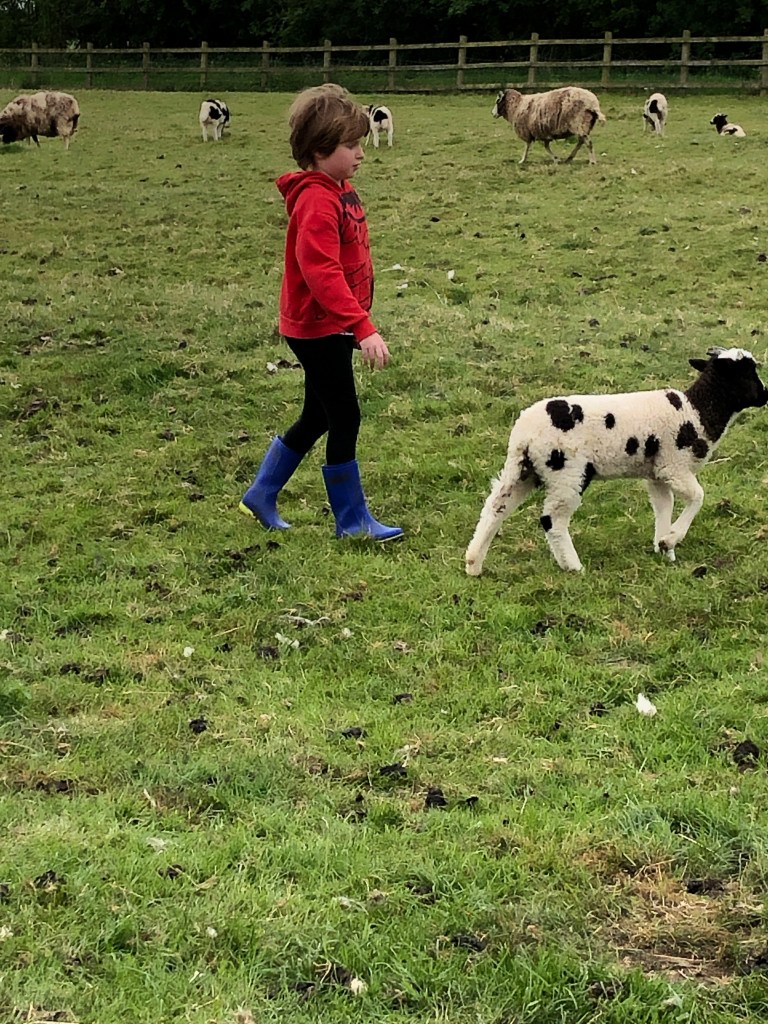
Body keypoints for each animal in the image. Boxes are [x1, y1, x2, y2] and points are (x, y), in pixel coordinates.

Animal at [465, 348, 768, 575]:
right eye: (747, 372)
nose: (765, 396)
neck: (698, 411)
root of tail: (523, 435)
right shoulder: (674, 466)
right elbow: (698, 497)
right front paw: (671, 539)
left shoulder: (657, 474)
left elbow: (664, 506)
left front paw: (664, 549)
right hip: (567, 473)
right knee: (552, 519)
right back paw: (573, 566)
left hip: (523, 470)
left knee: (495, 508)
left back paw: (473, 563)